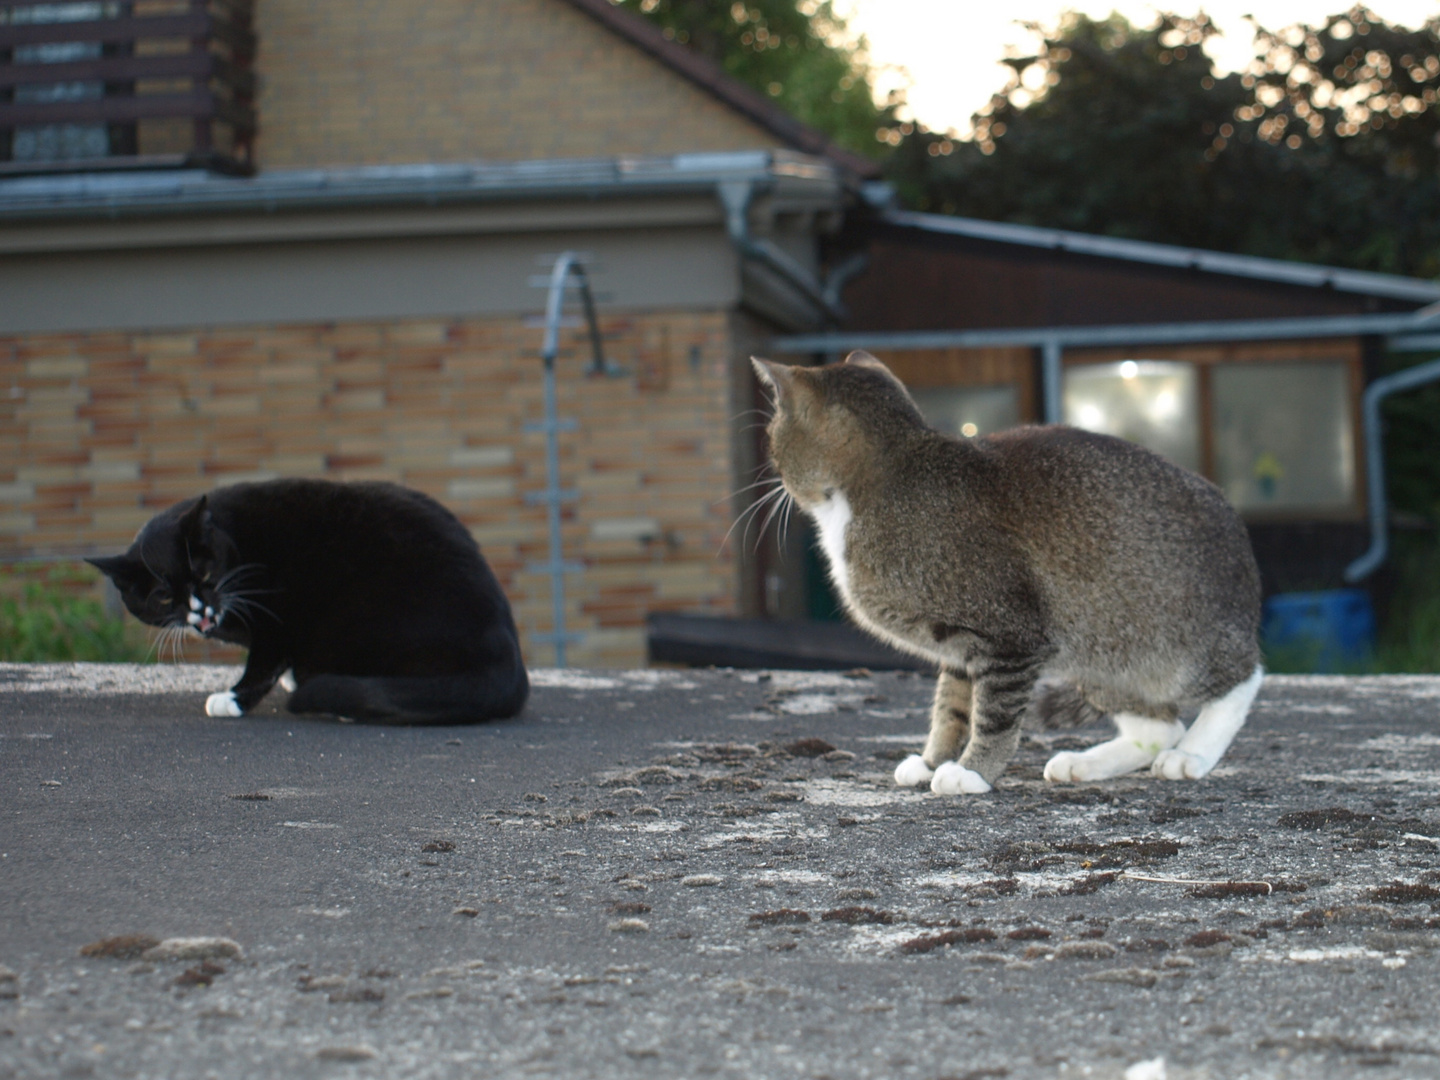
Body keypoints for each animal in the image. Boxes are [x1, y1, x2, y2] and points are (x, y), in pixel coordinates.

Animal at [90, 480, 529, 728]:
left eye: (205, 572)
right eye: (164, 596)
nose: (200, 609)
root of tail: (510, 663)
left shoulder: (277, 614)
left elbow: (263, 662)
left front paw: (233, 698)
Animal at [754, 355, 1261, 794]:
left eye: (771, 435)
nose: (772, 473)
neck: (888, 478)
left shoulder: (1011, 635)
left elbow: (993, 715)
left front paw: (973, 771)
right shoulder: (957, 645)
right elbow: (951, 709)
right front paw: (934, 761)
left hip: (1168, 646)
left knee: (1243, 678)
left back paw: (1193, 753)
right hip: (1100, 655)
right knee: (1161, 723)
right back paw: (1085, 763)